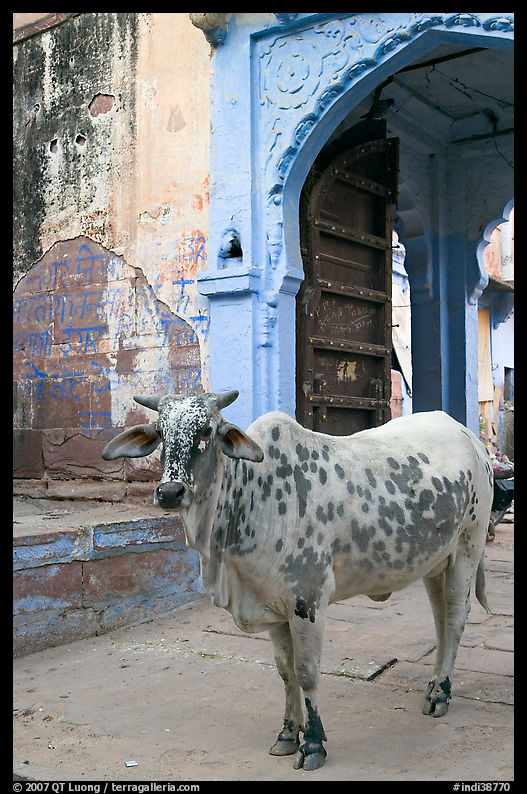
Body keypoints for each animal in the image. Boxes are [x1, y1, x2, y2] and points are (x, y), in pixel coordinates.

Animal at [102, 390, 493, 771]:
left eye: (206, 430)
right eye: (160, 432)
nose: (170, 492)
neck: (251, 496)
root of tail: (467, 435)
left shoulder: (308, 602)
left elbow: (306, 673)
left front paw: (314, 742)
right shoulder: (272, 607)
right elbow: (285, 672)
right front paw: (289, 734)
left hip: (468, 548)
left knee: (455, 619)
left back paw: (441, 693)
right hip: (435, 563)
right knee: (440, 621)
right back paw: (432, 686)